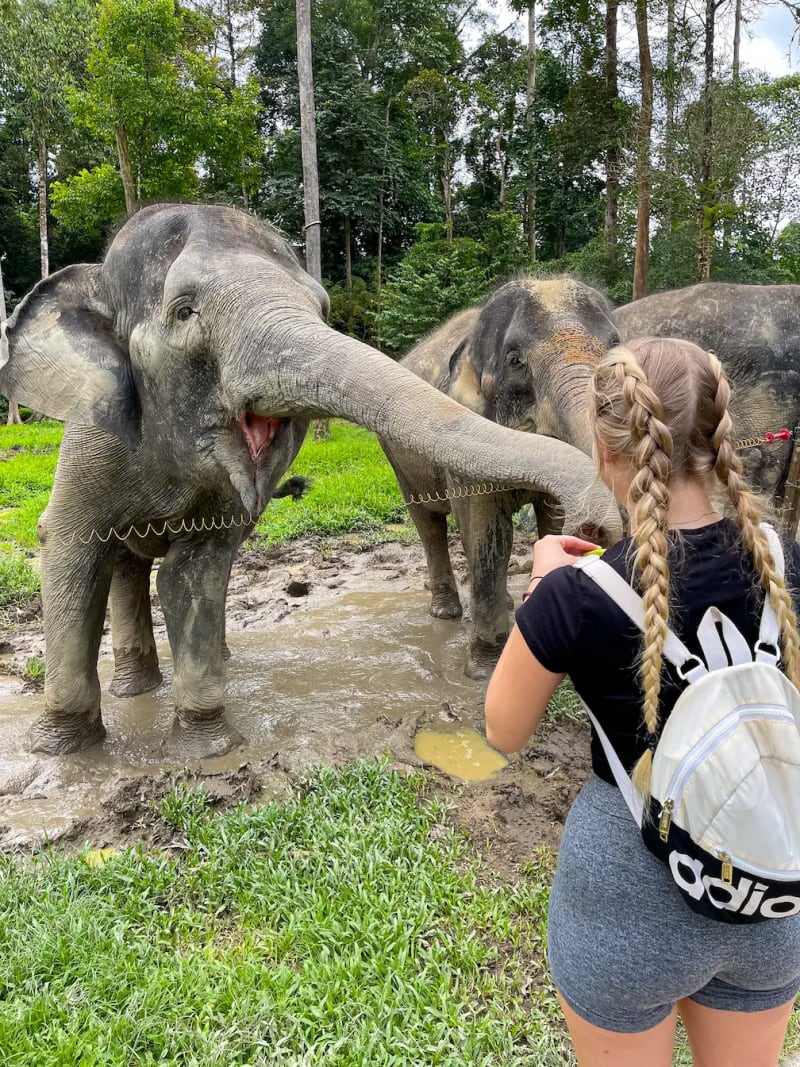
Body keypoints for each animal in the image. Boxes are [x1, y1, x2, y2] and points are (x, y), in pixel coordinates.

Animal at [380, 275, 620, 678]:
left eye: (616, 345)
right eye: (515, 360)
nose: (594, 528)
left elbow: (551, 517)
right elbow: (486, 532)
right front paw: (483, 672)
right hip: (396, 454)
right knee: (429, 523)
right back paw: (445, 614)